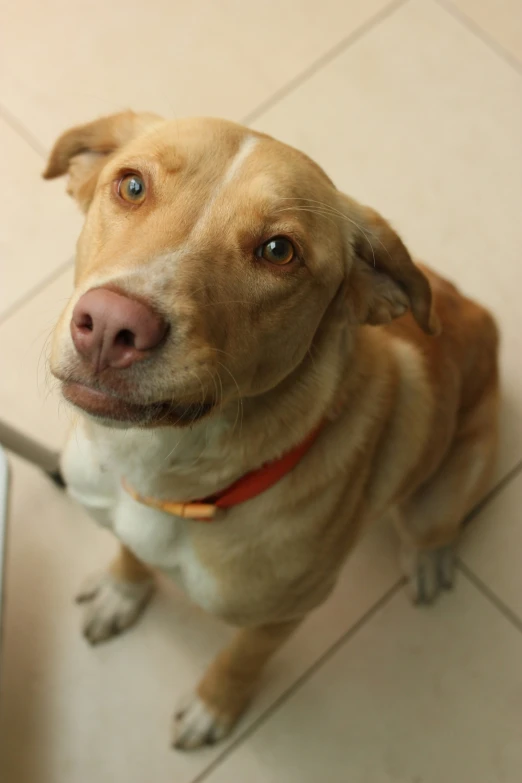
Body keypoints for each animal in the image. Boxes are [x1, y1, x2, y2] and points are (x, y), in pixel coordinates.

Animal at [42, 113, 498, 752]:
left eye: (279, 251)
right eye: (131, 186)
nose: (110, 326)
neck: (167, 474)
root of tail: (486, 319)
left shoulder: (279, 616)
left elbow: (240, 660)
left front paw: (214, 706)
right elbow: (131, 554)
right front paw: (123, 590)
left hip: (439, 490)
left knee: (434, 527)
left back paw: (430, 558)